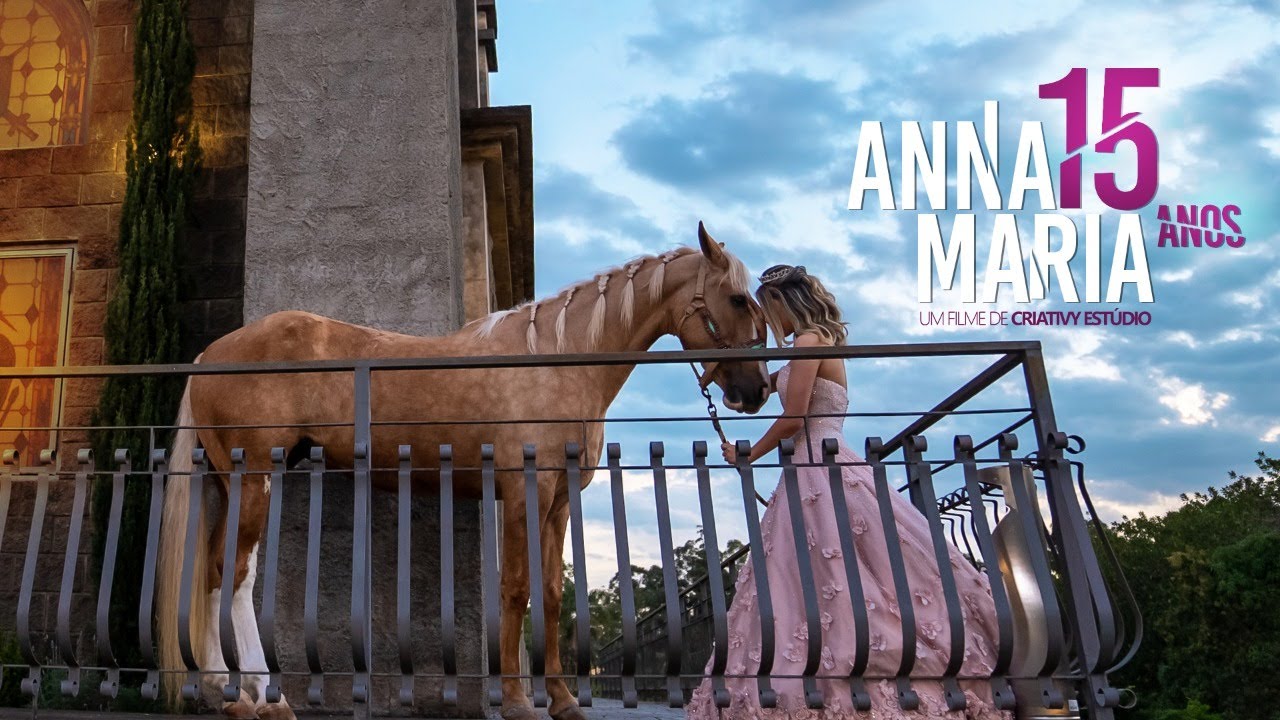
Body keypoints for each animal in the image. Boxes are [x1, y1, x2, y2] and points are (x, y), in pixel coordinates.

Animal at [154, 224, 771, 720]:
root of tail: (210, 357)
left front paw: (563, 701)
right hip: (254, 479)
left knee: (216, 573)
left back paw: (233, 693)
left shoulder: (558, 503)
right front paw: (519, 703)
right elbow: (517, 589)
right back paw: (259, 699)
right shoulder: (523, 492)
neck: (557, 358)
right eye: (738, 299)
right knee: (233, 576)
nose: (757, 390)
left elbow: (550, 593)